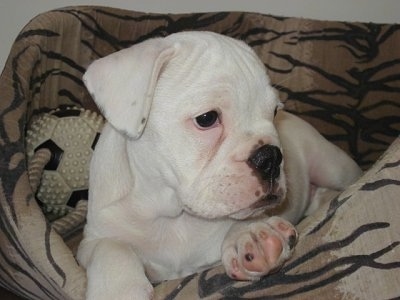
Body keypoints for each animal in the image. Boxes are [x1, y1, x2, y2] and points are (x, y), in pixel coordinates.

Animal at [76, 30, 360, 298]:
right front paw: (118, 289)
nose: (270, 157)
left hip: (332, 166)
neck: (173, 214)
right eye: (207, 118)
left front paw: (252, 236)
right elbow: (111, 247)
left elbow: (245, 218)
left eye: (275, 113)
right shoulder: (92, 240)